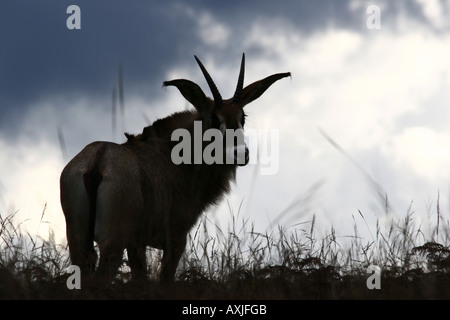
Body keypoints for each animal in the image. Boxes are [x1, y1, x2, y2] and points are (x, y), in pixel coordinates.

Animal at [59, 53, 290, 282]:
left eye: (243, 117)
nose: (240, 153)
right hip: (113, 242)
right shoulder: (175, 238)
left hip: (79, 240)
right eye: (215, 119)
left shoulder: (137, 243)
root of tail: (97, 161)